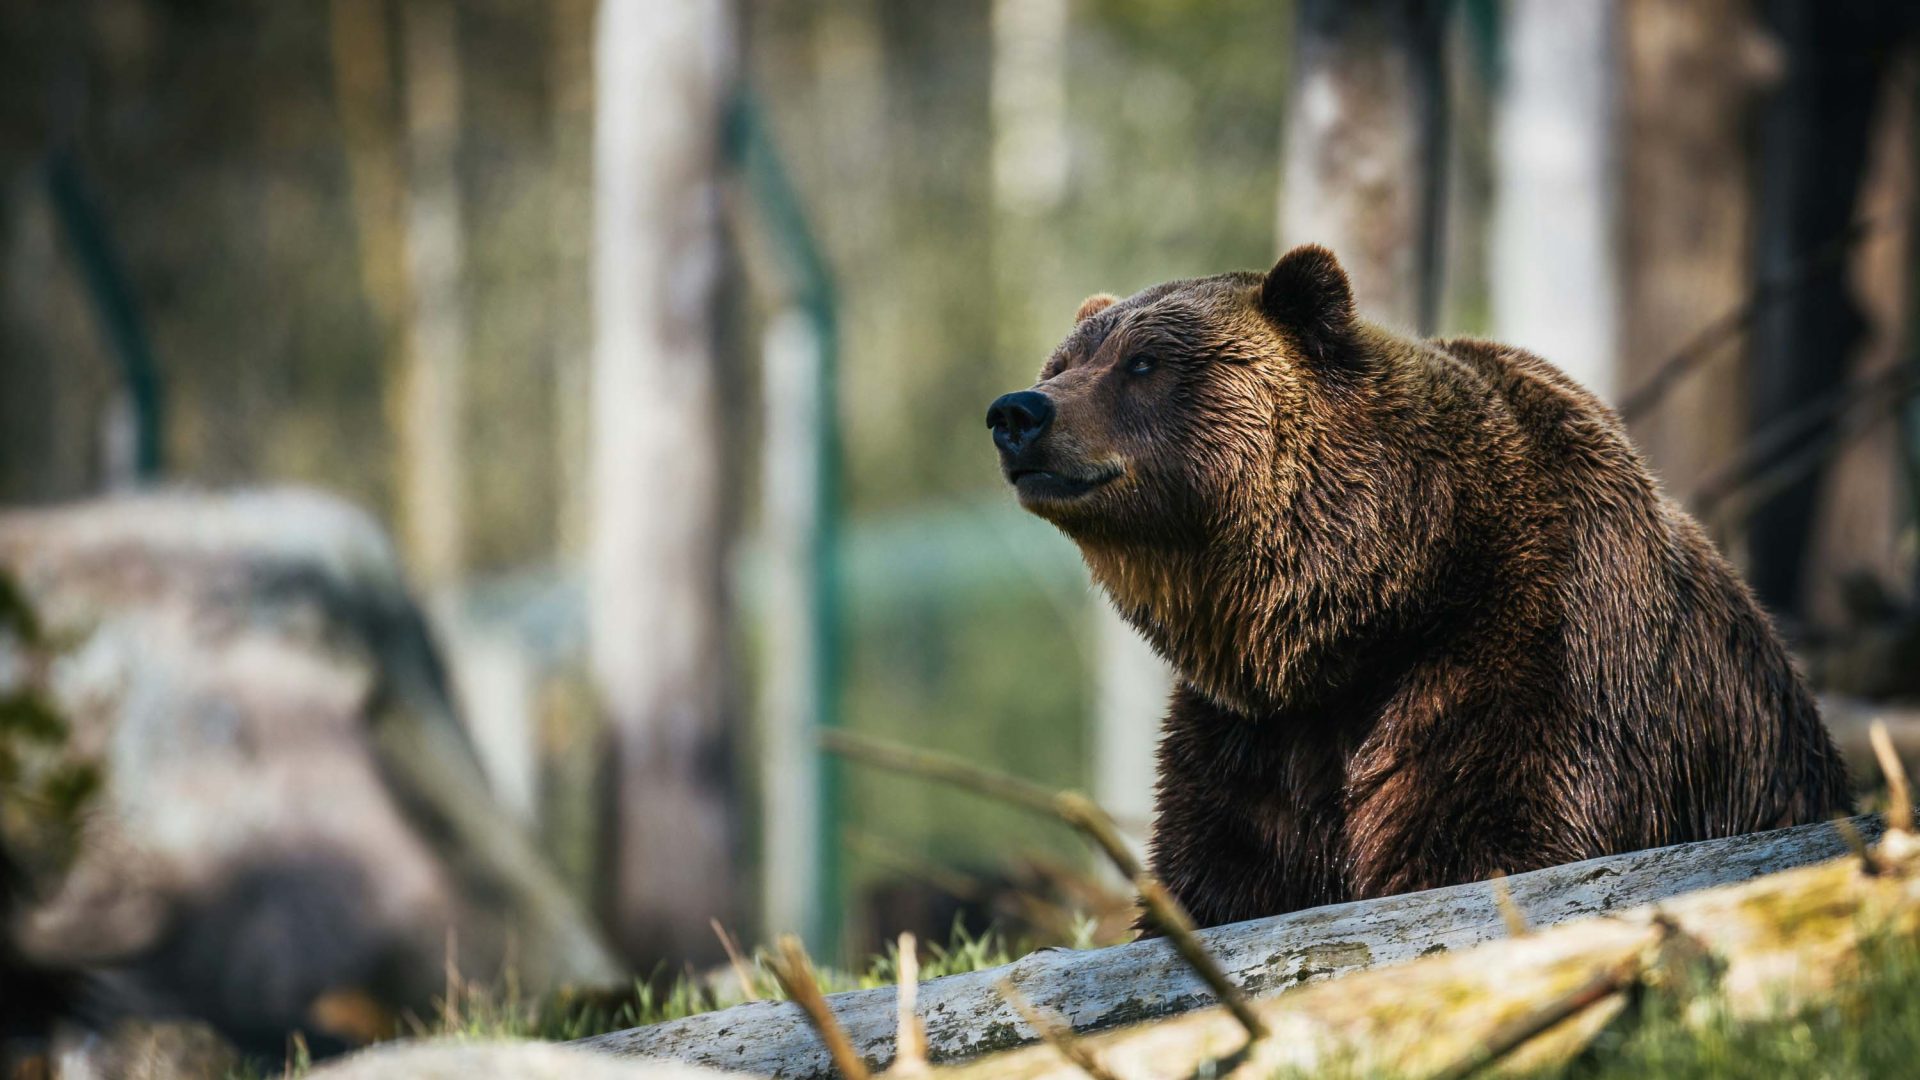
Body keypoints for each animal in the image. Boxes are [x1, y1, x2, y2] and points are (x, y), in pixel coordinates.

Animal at [983, 244, 1850, 926]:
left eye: (1143, 363)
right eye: (1062, 364)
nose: (1018, 412)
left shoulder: (1530, 655)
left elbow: (1486, 839)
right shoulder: (1254, 737)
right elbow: (1221, 875)